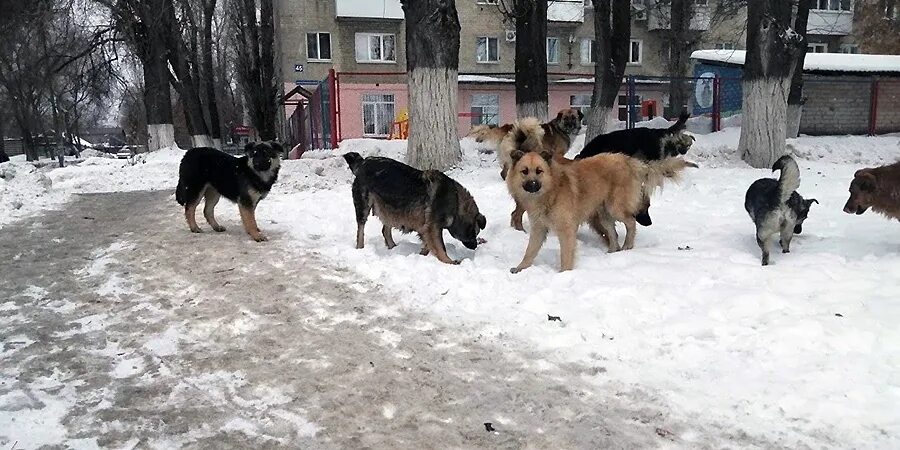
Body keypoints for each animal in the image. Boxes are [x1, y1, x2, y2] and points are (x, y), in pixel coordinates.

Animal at [342, 152, 486, 264]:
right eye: (474, 232)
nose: (475, 246)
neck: (456, 203)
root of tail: (363, 162)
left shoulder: (427, 228)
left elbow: (428, 243)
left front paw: (423, 254)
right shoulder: (433, 227)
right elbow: (440, 247)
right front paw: (448, 261)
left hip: (390, 208)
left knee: (385, 230)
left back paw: (393, 247)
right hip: (364, 207)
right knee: (361, 230)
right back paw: (360, 248)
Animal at [506, 118, 696, 272]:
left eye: (539, 171)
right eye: (524, 171)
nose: (532, 185)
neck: (551, 191)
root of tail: (629, 161)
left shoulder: (566, 230)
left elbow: (566, 255)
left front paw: (564, 274)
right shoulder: (539, 229)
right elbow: (530, 251)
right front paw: (521, 267)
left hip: (614, 208)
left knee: (631, 223)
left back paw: (627, 246)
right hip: (604, 213)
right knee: (613, 234)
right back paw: (612, 253)